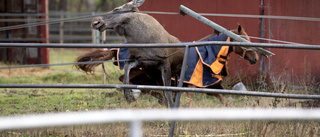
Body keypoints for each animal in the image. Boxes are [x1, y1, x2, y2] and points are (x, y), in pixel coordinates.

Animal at [82, 0, 258, 107]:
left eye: (117, 9)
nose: (95, 22)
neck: (142, 38)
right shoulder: (141, 62)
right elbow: (125, 74)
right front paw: (129, 96)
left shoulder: (164, 65)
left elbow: (171, 91)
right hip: (152, 74)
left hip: (170, 73)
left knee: (171, 90)